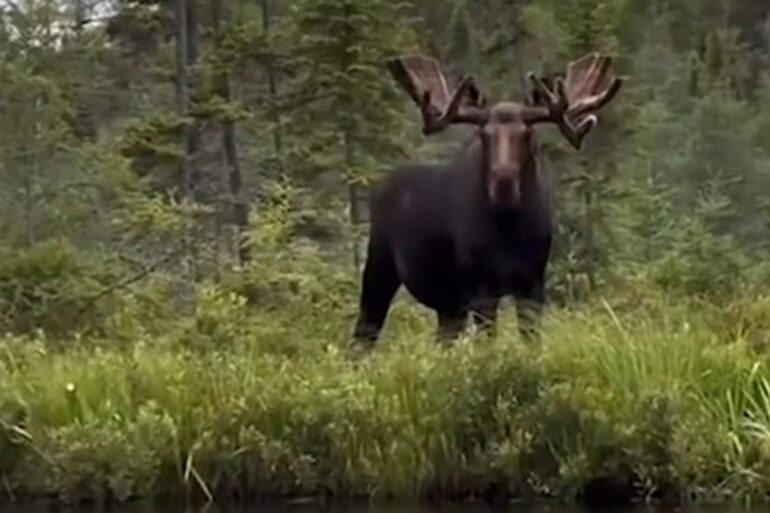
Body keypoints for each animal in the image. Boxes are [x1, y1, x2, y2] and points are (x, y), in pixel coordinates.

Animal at [352, 52, 623, 349]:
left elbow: (532, 342)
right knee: (363, 335)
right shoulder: (482, 288)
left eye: (527, 134)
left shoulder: (533, 283)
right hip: (380, 266)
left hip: (448, 306)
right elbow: (487, 343)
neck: (510, 230)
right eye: (484, 135)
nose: (503, 180)